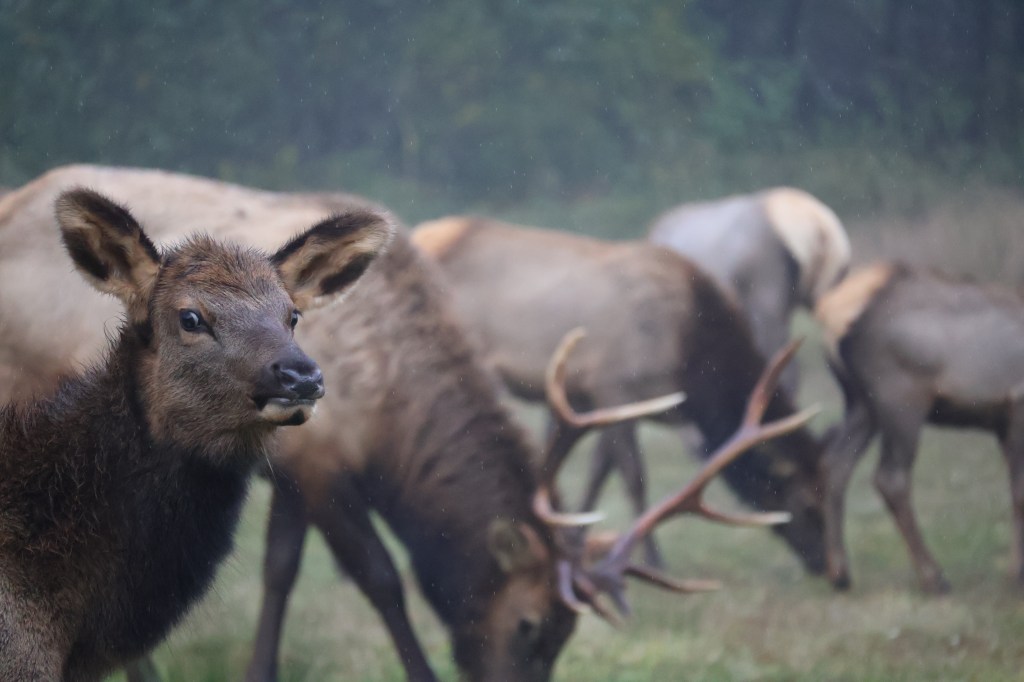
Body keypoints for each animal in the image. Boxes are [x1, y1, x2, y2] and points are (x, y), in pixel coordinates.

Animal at [412, 215, 828, 574]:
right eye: (807, 505)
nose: (833, 571)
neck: (691, 358)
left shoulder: (595, 399)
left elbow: (596, 470)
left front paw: (575, 543)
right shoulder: (614, 386)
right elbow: (633, 476)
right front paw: (653, 560)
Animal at [816, 262, 1024, 593]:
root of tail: (831, 314)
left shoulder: (1004, 422)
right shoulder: (1017, 404)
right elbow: (1019, 493)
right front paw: (1016, 572)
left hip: (862, 404)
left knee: (835, 462)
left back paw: (840, 573)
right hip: (902, 400)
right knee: (891, 478)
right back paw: (933, 577)